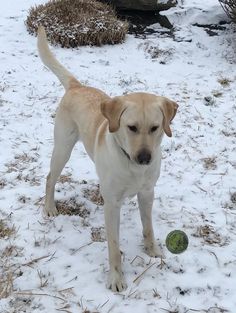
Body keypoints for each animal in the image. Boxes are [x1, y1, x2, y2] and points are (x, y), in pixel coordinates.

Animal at [37, 26, 177, 290]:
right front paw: (116, 278)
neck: (133, 167)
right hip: (63, 148)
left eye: (155, 128)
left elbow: (148, 228)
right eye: (131, 127)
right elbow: (113, 246)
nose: (145, 157)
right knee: (50, 178)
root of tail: (77, 86)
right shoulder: (112, 204)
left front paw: (153, 250)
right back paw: (49, 208)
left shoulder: (147, 193)